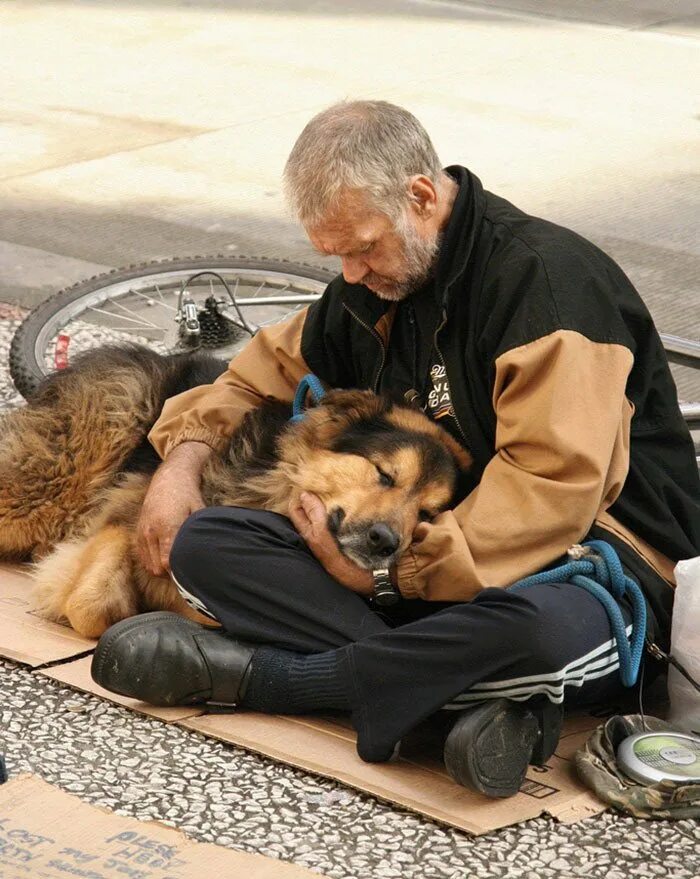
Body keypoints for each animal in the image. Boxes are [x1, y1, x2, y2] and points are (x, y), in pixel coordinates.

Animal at [0, 344, 474, 640]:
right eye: (385, 475)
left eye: (428, 514)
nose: (386, 542)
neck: (277, 485)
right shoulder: (138, 515)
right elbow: (92, 599)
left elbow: (96, 607)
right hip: (51, 483)